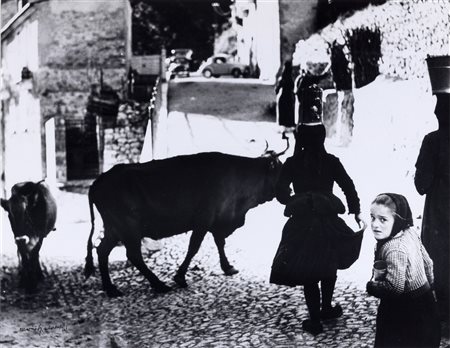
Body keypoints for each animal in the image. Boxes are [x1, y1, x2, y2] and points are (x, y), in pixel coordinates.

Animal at [84, 138, 288, 296]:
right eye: (282, 170)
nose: (290, 192)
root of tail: (98, 181)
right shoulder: (204, 220)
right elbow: (194, 247)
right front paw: (180, 277)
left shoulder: (217, 220)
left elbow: (220, 243)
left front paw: (227, 267)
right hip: (128, 228)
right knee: (133, 255)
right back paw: (158, 285)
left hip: (114, 229)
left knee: (102, 251)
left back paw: (111, 288)